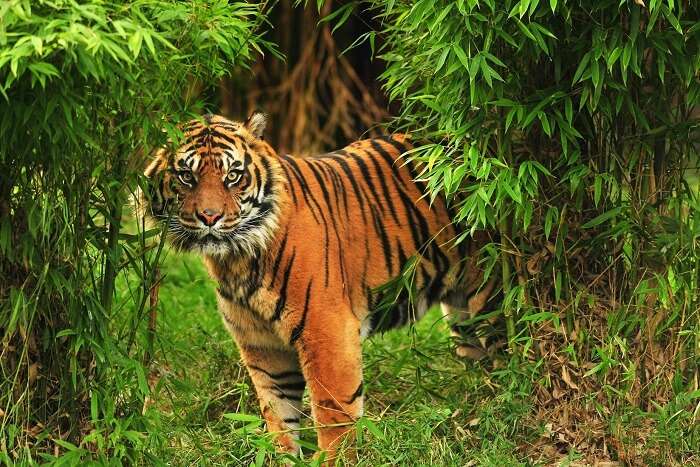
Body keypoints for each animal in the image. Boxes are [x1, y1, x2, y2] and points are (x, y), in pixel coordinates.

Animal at [139, 114, 498, 464]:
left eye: (233, 176)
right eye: (186, 176)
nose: (209, 217)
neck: (236, 258)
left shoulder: (327, 332)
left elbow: (334, 415)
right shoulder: (262, 345)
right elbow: (279, 416)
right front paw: (281, 459)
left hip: (491, 295)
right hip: (462, 315)